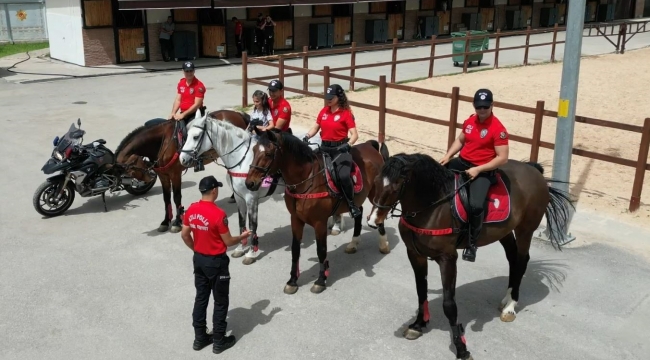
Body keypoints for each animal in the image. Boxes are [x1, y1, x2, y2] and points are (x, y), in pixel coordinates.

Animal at [115, 109, 247, 233]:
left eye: (131, 169)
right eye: (128, 172)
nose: (151, 176)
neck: (163, 142)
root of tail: (238, 114)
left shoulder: (175, 174)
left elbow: (176, 197)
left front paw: (177, 222)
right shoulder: (163, 175)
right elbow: (166, 198)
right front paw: (165, 221)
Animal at [177, 112, 344, 264]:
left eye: (196, 137)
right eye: (186, 134)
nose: (182, 159)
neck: (241, 160)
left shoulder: (251, 198)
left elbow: (252, 225)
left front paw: (251, 253)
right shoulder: (238, 197)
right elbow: (241, 222)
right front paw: (240, 248)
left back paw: (336, 226)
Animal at [244, 129, 390, 296]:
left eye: (268, 154)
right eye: (254, 150)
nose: (250, 183)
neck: (306, 180)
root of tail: (369, 145)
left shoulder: (320, 222)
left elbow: (321, 250)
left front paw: (320, 280)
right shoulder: (296, 219)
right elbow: (295, 250)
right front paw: (292, 281)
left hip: (374, 195)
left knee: (379, 214)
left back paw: (384, 244)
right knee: (359, 213)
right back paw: (354, 243)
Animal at [364, 153, 572, 360]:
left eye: (396, 185)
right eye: (376, 181)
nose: (373, 220)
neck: (432, 206)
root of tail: (533, 170)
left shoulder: (447, 258)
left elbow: (449, 304)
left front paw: (461, 347)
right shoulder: (415, 254)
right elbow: (421, 291)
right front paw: (418, 324)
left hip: (525, 230)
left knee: (521, 261)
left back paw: (510, 306)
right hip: (504, 231)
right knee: (513, 259)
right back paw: (506, 298)